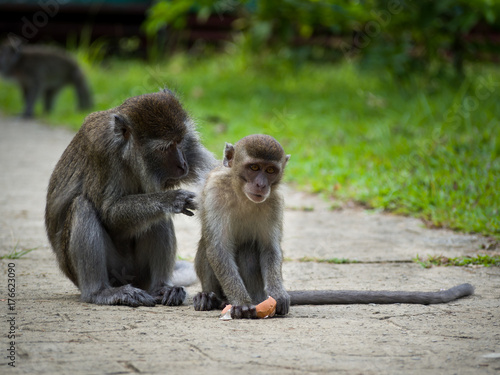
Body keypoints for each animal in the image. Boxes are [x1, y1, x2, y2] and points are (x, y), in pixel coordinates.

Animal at [46, 89, 217, 306]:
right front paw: (170, 199)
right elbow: (109, 214)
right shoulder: (102, 153)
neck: (125, 153)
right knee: (82, 206)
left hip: (139, 273)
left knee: (156, 219)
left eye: (179, 142)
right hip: (110, 271)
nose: (183, 164)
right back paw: (99, 292)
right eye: (165, 148)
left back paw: (161, 287)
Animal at [191, 135, 472, 320]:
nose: (261, 184)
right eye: (253, 167)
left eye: (270, 170)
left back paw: (259, 300)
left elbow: (269, 249)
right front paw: (241, 303)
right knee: (208, 245)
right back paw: (213, 298)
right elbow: (218, 248)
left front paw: (278, 294)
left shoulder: (275, 201)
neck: (241, 193)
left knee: (251, 249)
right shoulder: (215, 192)